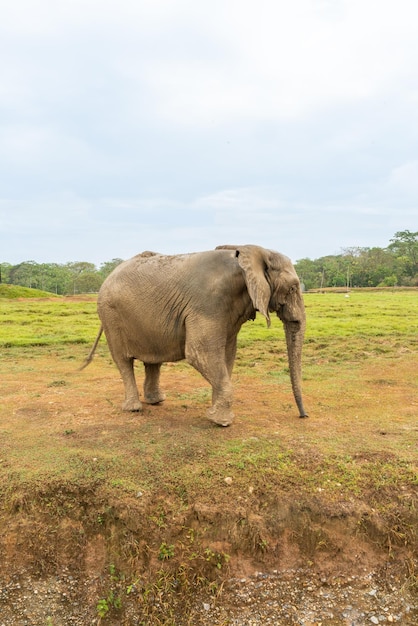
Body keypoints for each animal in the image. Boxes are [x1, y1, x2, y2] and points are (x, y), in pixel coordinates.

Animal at [83, 244, 308, 424]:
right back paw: (134, 409)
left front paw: (216, 413)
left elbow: (227, 354)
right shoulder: (208, 304)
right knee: (123, 361)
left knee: (153, 360)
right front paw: (222, 422)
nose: (303, 416)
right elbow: (200, 353)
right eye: (293, 288)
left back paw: (156, 401)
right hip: (110, 316)